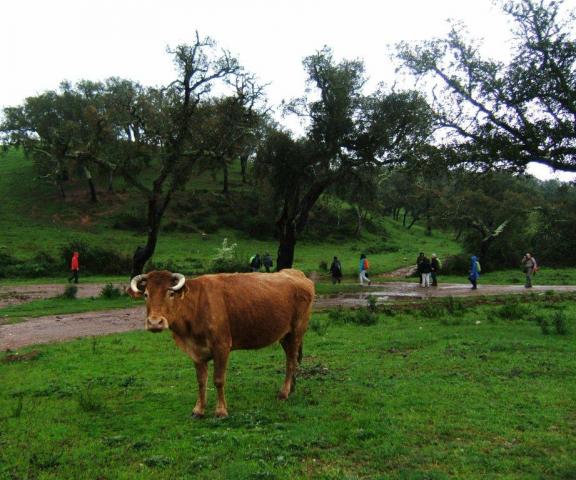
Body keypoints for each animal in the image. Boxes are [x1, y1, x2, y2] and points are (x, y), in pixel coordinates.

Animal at [129, 268, 316, 418]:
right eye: (146, 295)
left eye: (171, 293)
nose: (155, 322)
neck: (196, 306)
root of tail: (297, 273)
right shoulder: (196, 351)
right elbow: (201, 381)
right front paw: (198, 410)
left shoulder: (222, 346)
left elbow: (218, 380)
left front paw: (221, 411)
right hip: (285, 335)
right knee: (291, 359)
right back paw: (291, 388)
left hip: (297, 330)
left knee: (291, 362)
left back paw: (284, 393)